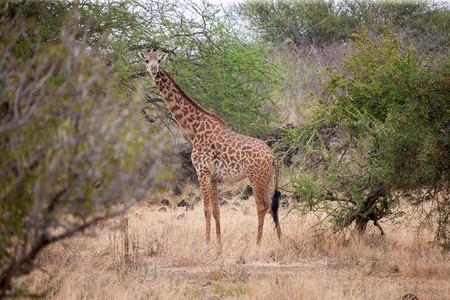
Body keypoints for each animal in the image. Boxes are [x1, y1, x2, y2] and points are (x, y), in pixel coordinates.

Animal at [141, 49, 282, 245]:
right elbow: (216, 210)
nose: (154, 70)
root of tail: (272, 156)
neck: (193, 129)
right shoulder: (214, 176)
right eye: (147, 60)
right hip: (268, 178)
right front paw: (219, 243)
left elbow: (206, 209)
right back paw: (281, 241)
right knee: (273, 206)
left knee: (261, 206)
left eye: (159, 60)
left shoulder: (202, 171)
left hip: (255, 177)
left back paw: (258, 244)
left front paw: (207, 243)